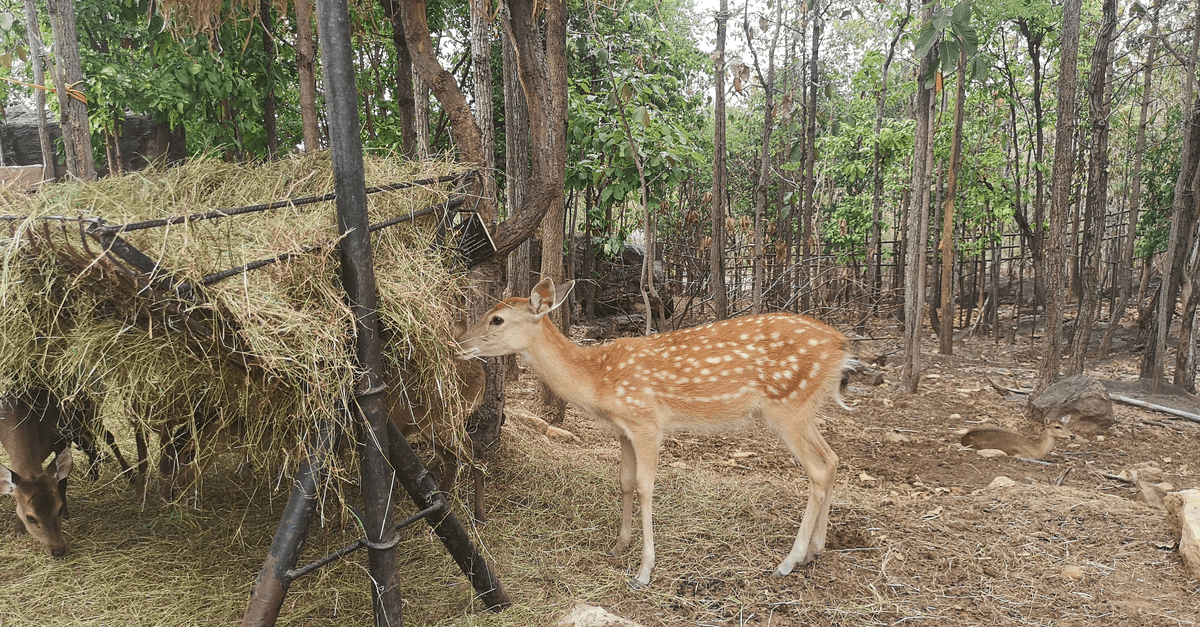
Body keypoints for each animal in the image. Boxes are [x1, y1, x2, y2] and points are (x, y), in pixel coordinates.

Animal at [0, 393, 75, 557]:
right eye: (30, 518)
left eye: (59, 508)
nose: (58, 550)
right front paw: (18, 531)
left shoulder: (61, 438)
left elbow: (62, 482)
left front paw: (67, 515)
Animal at [456, 278, 853, 587]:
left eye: (497, 319)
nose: (459, 344)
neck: (598, 381)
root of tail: (842, 346)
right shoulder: (623, 430)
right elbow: (624, 481)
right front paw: (618, 546)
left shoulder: (647, 421)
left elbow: (646, 486)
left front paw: (644, 570)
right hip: (803, 409)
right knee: (833, 459)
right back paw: (815, 550)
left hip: (787, 407)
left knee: (818, 469)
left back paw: (788, 561)